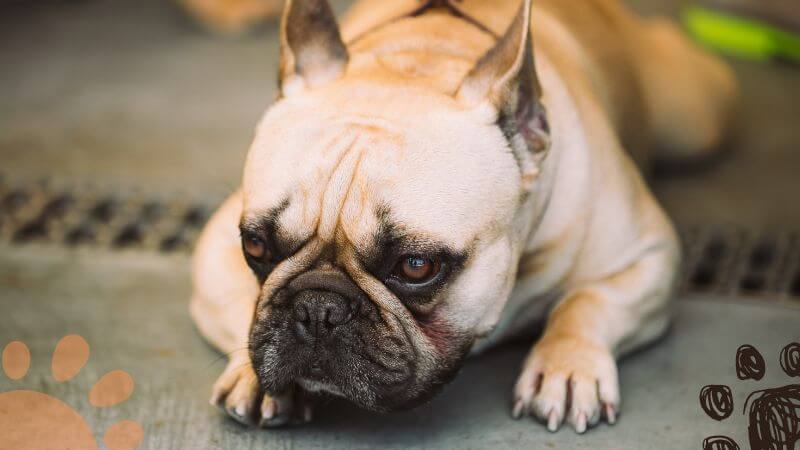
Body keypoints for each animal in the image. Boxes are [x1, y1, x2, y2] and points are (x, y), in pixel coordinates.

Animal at [189, 0, 736, 434]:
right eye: (256, 246)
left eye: (416, 267)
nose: (317, 308)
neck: (424, 59)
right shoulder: (214, 248)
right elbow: (243, 304)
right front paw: (252, 376)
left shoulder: (652, 255)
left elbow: (588, 302)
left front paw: (566, 366)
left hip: (693, 120)